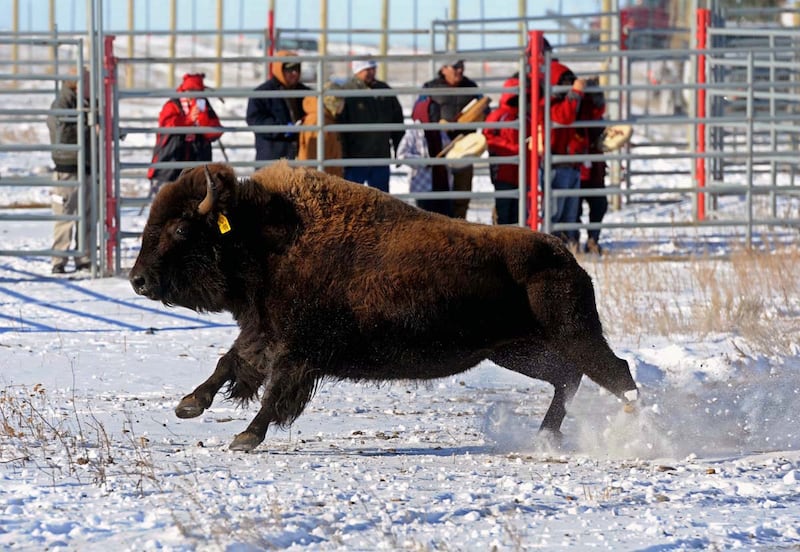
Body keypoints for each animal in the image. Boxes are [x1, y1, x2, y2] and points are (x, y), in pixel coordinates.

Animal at [129, 163, 638, 452]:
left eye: (180, 229)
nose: (137, 280)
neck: (264, 237)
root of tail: (563, 256)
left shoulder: (294, 353)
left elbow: (272, 393)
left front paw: (245, 438)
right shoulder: (262, 333)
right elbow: (228, 364)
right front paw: (188, 406)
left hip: (574, 336)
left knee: (615, 373)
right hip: (515, 351)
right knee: (567, 378)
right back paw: (545, 436)